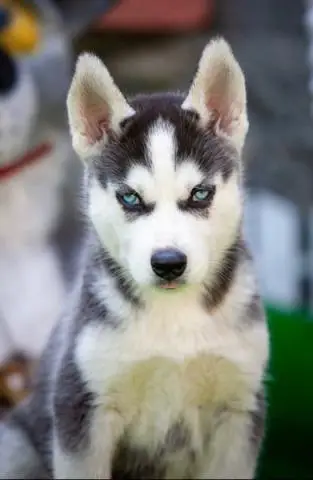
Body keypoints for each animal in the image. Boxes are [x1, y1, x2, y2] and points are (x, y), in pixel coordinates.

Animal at [0, 38, 268, 480]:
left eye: (200, 193)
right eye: (129, 198)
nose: (169, 262)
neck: (174, 317)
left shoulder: (238, 408)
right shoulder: (82, 406)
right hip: (17, 443)